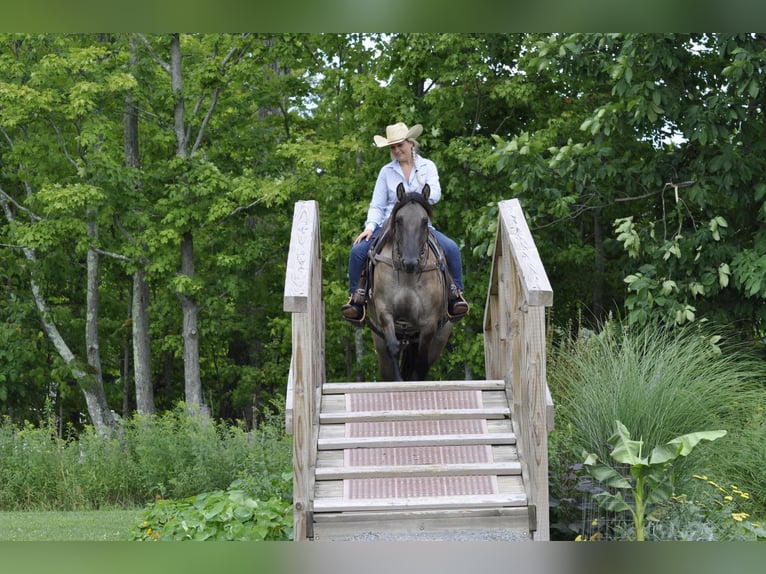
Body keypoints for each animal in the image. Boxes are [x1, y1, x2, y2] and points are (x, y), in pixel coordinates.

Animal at [366, 184, 456, 382]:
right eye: (399, 220)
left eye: (424, 221)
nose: (410, 262)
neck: (408, 276)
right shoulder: (385, 311)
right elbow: (393, 347)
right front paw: (399, 382)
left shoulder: (429, 323)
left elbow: (421, 362)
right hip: (379, 340)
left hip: (441, 336)